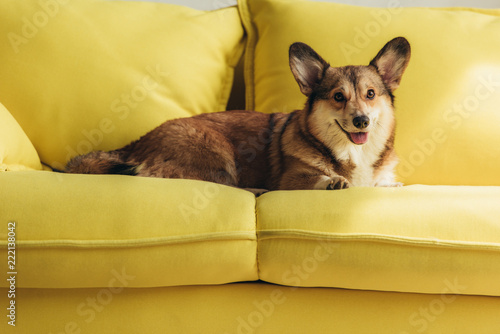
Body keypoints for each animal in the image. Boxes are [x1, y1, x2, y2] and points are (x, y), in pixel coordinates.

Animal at [65, 36, 410, 193]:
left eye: (370, 94)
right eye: (338, 97)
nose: (361, 120)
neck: (352, 153)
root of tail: (135, 144)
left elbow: (383, 184)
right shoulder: (293, 177)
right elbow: (316, 177)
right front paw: (333, 181)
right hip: (215, 154)